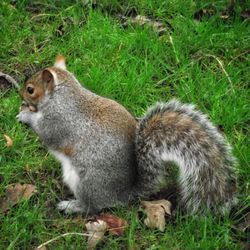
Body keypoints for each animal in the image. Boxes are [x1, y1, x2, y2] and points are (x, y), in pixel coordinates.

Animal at [16, 55, 237, 214]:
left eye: (30, 89)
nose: (20, 94)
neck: (63, 95)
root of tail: (123, 195)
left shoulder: (59, 120)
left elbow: (47, 133)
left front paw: (25, 115)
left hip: (86, 183)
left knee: (93, 207)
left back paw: (72, 206)